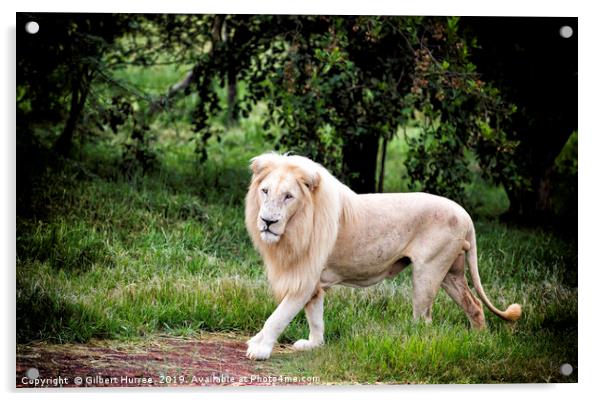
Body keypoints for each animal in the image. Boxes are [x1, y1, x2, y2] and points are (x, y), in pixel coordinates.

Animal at [241, 152, 516, 360]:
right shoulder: (312, 282)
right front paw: (314, 345)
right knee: (475, 306)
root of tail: (466, 215)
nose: (267, 221)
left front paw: (260, 348)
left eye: (288, 196)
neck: (294, 229)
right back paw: (480, 341)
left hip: (427, 272)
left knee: (424, 321)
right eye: (265, 191)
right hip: (451, 273)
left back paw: (410, 345)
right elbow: (315, 318)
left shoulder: (305, 279)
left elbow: (278, 316)